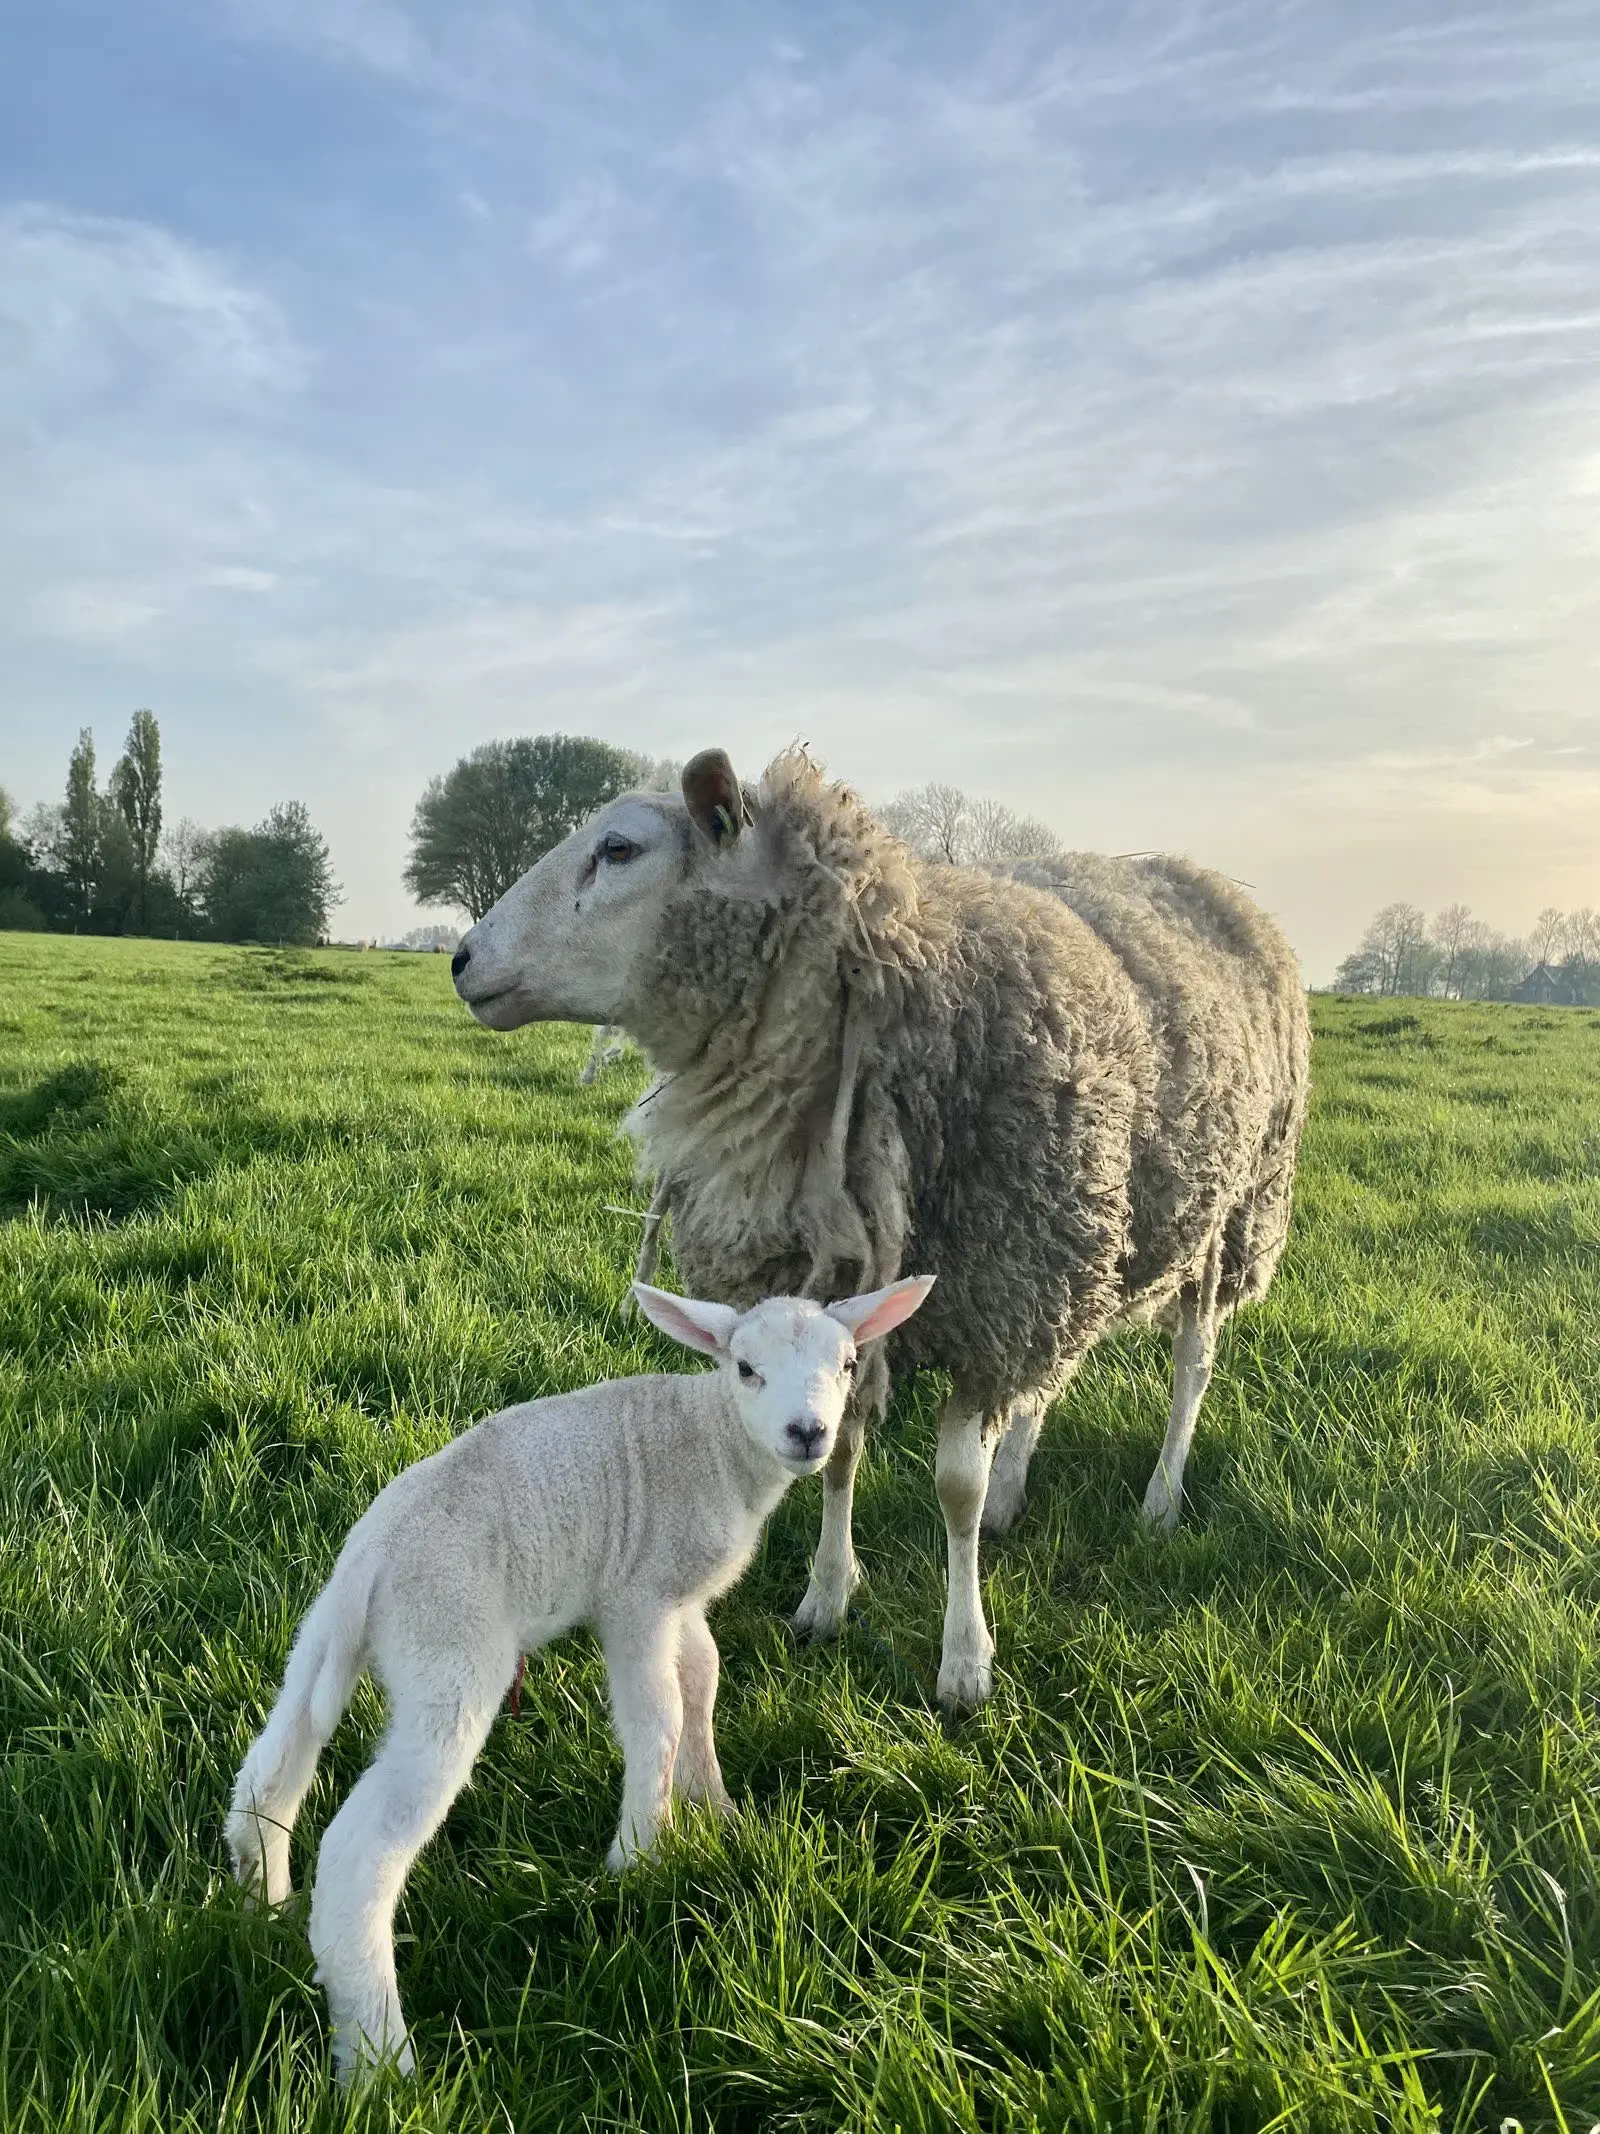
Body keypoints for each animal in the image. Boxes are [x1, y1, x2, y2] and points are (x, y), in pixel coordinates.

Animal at [226, 1272, 934, 2084]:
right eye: (746, 1369)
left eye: (848, 1364)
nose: (809, 1433)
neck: (716, 1441)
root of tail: (370, 1561)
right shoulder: (637, 1597)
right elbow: (659, 1717)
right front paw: (640, 1854)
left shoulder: (679, 1596)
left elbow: (703, 1679)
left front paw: (715, 1807)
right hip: (450, 1646)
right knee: (357, 1856)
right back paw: (380, 2063)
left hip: (322, 1640)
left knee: (270, 1770)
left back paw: (261, 1906)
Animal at [450, 746, 1310, 1711]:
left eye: (620, 848)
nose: (461, 959)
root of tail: (1210, 878)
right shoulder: (861, 1286)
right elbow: (837, 1456)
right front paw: (826, 1599)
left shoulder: (994, 1295)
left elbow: (955, 1488)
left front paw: (965, 1659)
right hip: (1089, 1237)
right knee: (1051, 1377)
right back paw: (1019, 1489)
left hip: (1229, 1212)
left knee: (1191, 1367)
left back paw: (1160, 1498)